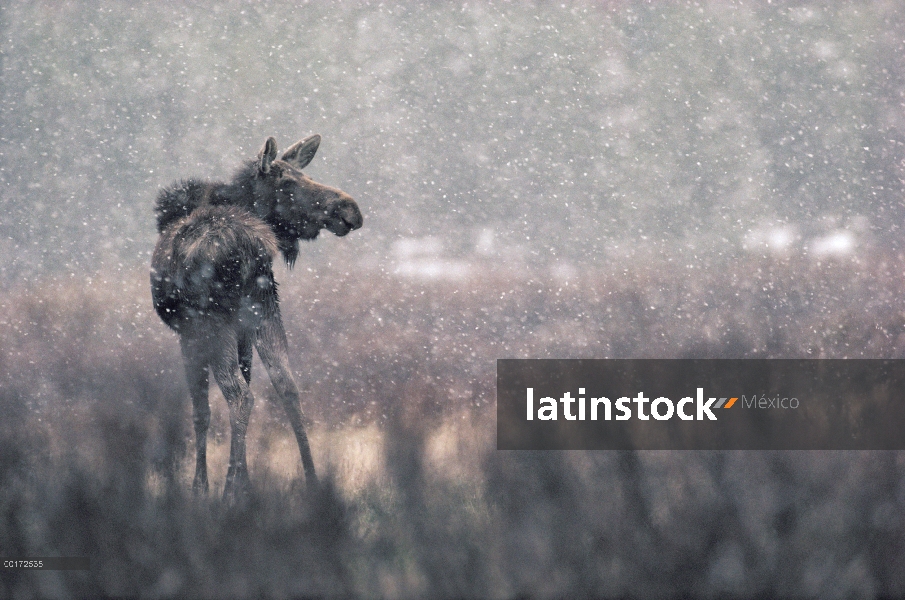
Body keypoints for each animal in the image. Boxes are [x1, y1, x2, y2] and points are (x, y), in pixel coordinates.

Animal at [150, 136, 362, 496]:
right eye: (288, 182)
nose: (351, 209)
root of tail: (250, 249)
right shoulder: (244, 330)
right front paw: (243, 479)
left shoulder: (188, 333)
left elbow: (201, 411)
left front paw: (202, 487)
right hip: (265, 308)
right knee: (287, 386)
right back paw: (311, 481)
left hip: (214, 322)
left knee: (239, 396)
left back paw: (228, 495)